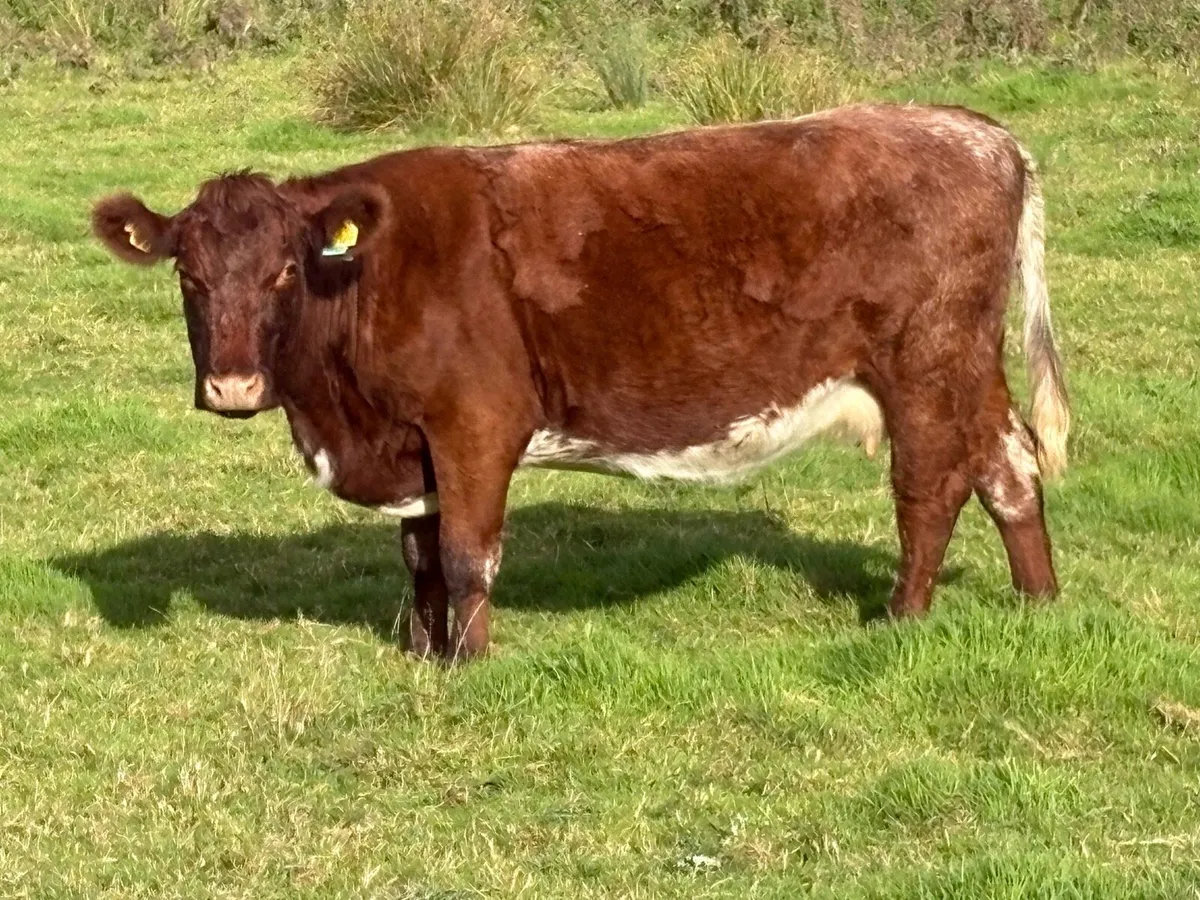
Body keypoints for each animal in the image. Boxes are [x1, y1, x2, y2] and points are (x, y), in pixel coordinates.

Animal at [92, 103, 1070, 662]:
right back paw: (1038, 605)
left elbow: (467, 554)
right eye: (189, 276)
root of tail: (975, 128)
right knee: (1010, 470)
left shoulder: (476, 424)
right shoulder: (415, 443)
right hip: (968, 364)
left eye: (284, 273)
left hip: (923, 363)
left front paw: (470, 664)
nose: (231, 387)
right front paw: (419, 652)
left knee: (932, 485)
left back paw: (901, 617)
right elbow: (418, 554)